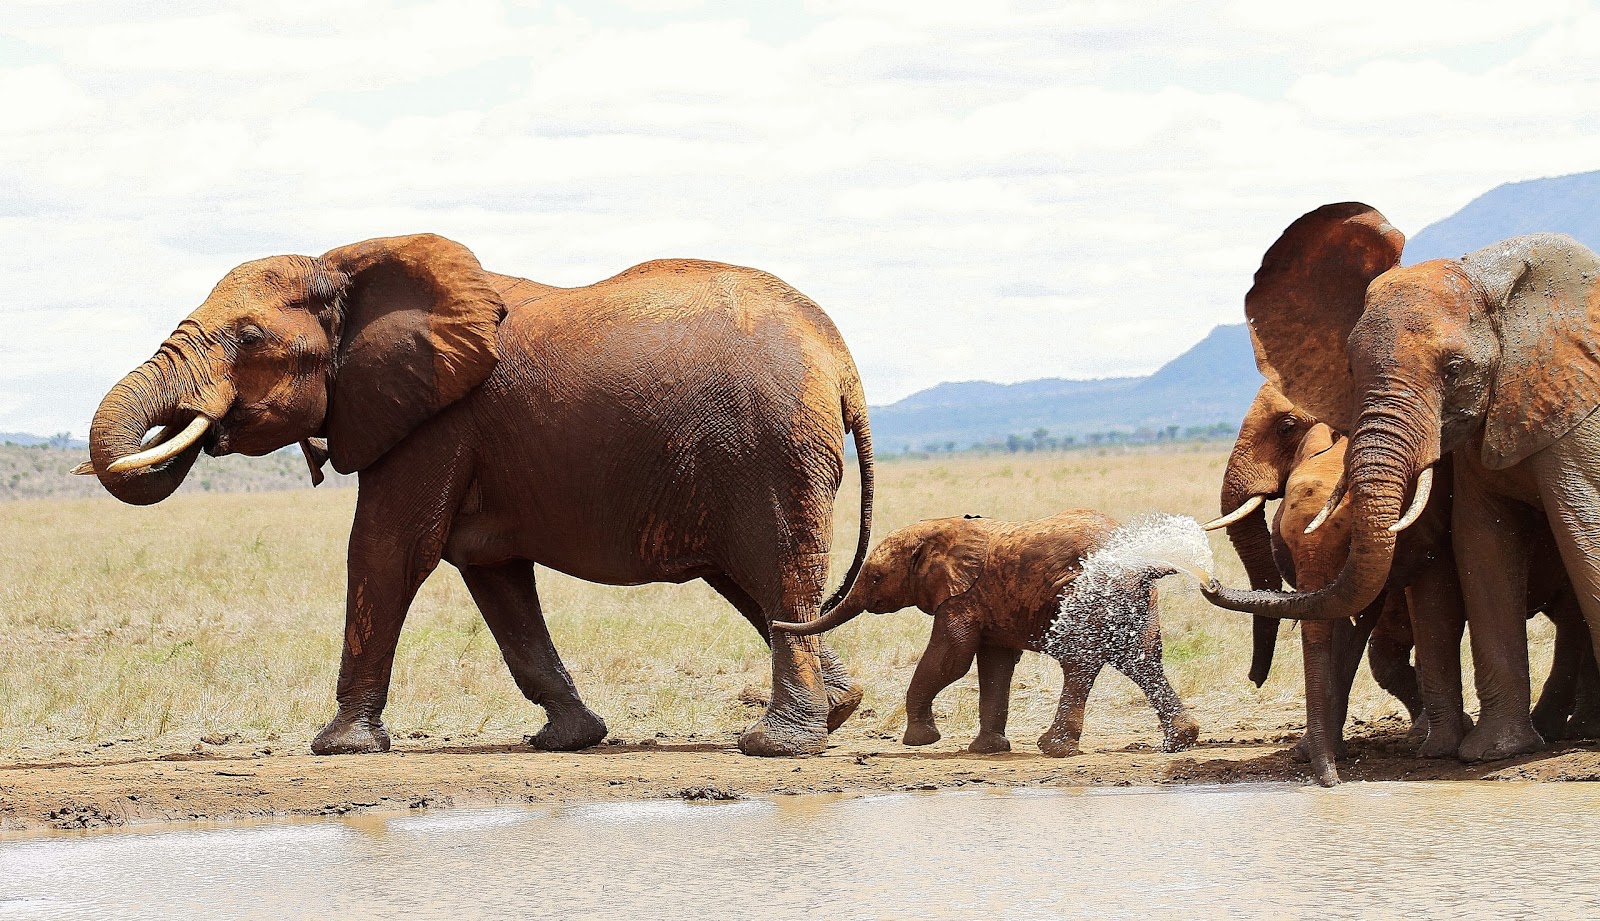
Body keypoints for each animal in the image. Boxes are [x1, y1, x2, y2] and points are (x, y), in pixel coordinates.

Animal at [78, 234, 875, 758]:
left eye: (247, 339)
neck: (350, 262)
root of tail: (840, 356)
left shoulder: (436, 422)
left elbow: (388, 550)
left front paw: (338, 746)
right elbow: (494, 578)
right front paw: (566, 740)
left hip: (771, 449)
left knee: (776, 571)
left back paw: (776, 744)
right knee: (757, 585)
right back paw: (837, 711)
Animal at [772, 512, 1200, 757]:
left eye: (875, 578)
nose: (776, 624)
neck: (944, 529)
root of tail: (1144, 563)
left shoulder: (962, 598)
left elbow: (952, 658)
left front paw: (920, 742)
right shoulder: (989, 603)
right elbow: (994, 665)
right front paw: (988, 750)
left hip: (1091, 593)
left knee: (1080, 662)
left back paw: (1054, 748)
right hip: (1136, 600)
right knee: (1142, 659)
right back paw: (1181, 741)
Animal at [1204, 202, 1600, 763]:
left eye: (1455, 369)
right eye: (1351, 370)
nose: (1208, 582)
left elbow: (1578, 527)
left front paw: (1459, 752)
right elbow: (1481, 547)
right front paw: (1480, 751)